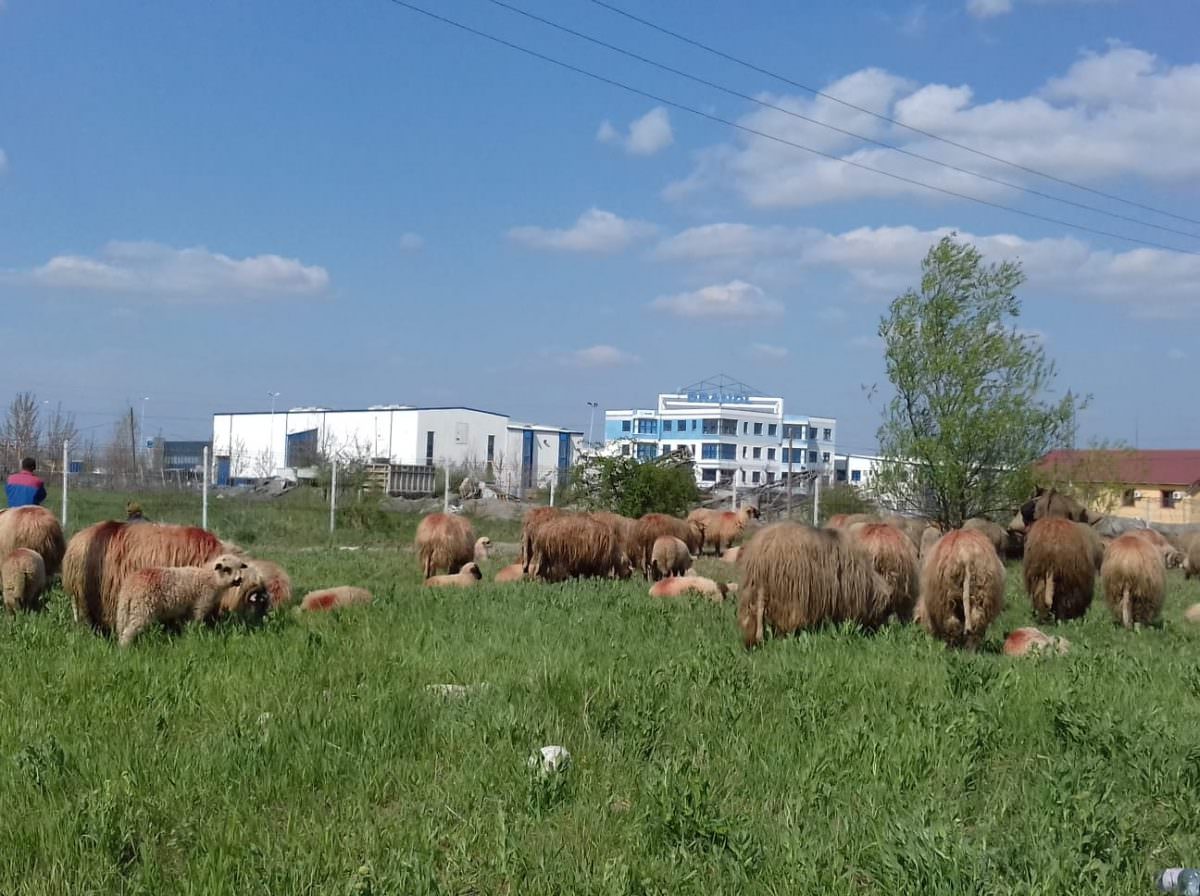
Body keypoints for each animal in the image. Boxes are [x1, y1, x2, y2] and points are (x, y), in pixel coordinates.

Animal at [112, 549, 270, 647]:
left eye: (240, 568)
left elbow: (186, 625)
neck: (210, 578)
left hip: (126, 610)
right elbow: (197, 622)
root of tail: (130, 586)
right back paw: (124, 650)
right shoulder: (201, 604)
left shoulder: (187, 610)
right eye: (226, 569)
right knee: (129, 631)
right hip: (143, 609)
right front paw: (195, 636)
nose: (238, 580)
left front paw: (186, 636)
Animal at [729, 522, 892, 647]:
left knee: (753, 613)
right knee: (786, 618)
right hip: (789, 591)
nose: (881, 631)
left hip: (753, 586)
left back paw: (754, 640)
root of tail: (764, 552)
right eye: (884, 611)